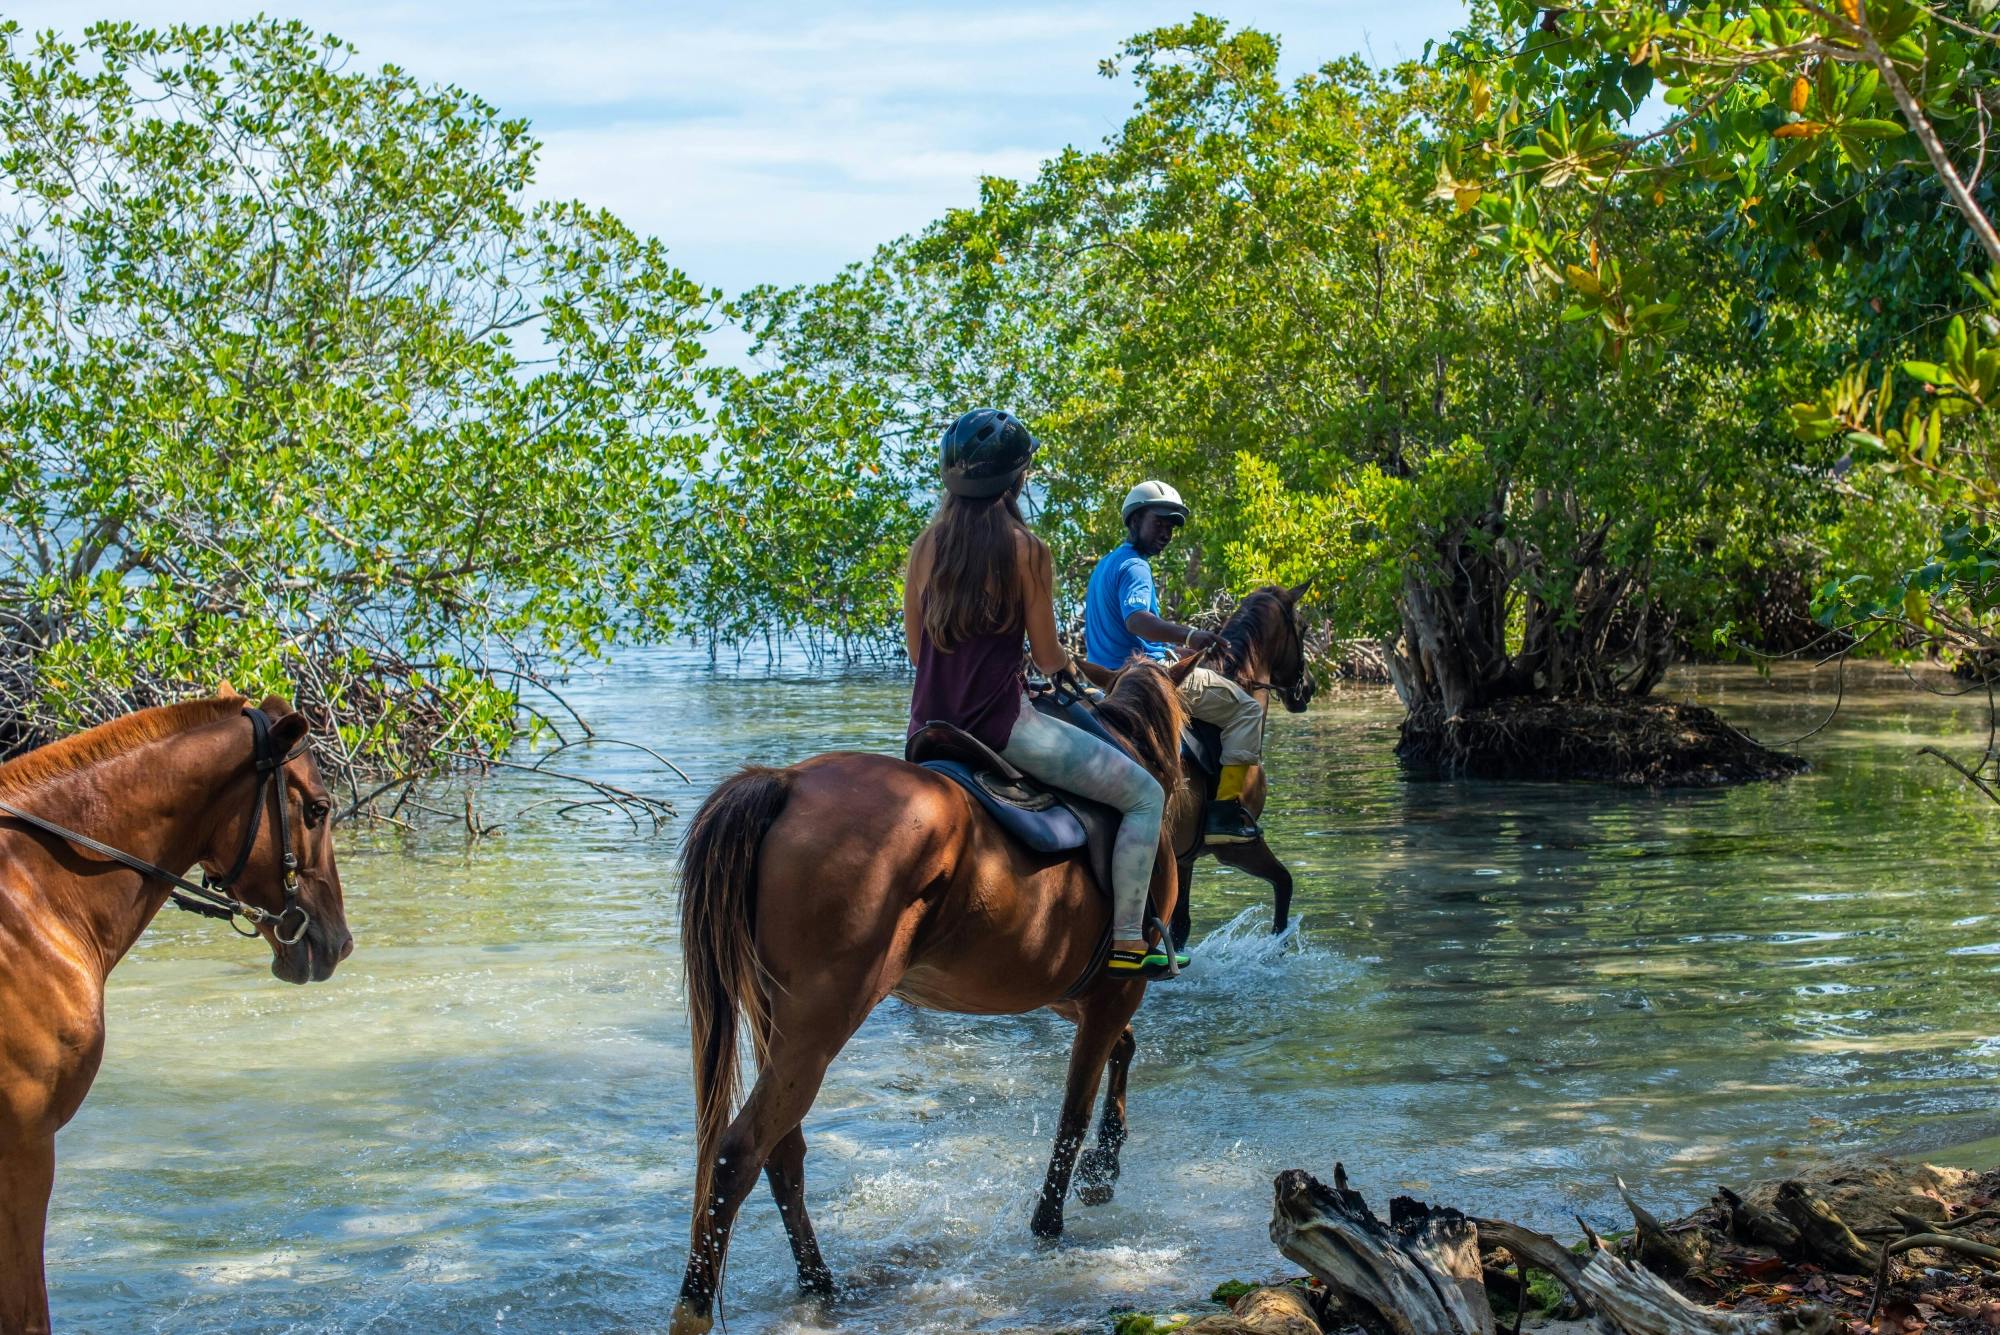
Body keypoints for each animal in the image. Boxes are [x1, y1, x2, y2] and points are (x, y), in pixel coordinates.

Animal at [672, 655, 1192, 1335]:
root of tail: (783, 784)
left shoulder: (1074, 993)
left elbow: (1121, 1052)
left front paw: (1102, 1172)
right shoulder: (1116, 989)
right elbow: (1074, 1111)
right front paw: (1053, 1219)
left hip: (775, 1024)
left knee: (781, 1153)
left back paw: (819, 1283)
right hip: (817, 1028)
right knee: (738, 1154)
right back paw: (695, 1305)